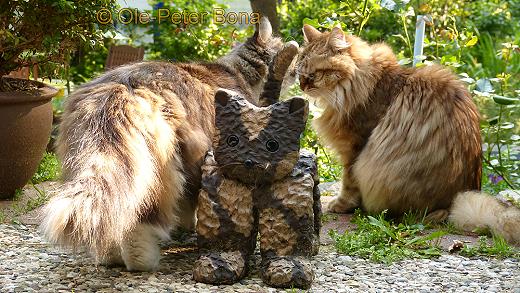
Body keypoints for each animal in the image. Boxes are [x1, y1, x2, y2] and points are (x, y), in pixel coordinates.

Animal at [40, 17, 290, 270]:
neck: (239, 74)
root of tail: (122, 87)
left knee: (115, 214)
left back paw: (110, 257)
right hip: (160, 168)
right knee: (139, 218)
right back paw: (140, 261)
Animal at [296, 24, 520, 243]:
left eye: (313, 75)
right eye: (299, 74)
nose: (302, 86)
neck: (361, 82)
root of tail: (455, 201)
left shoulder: (356, 146)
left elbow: (348, 182)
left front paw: (341, 205)